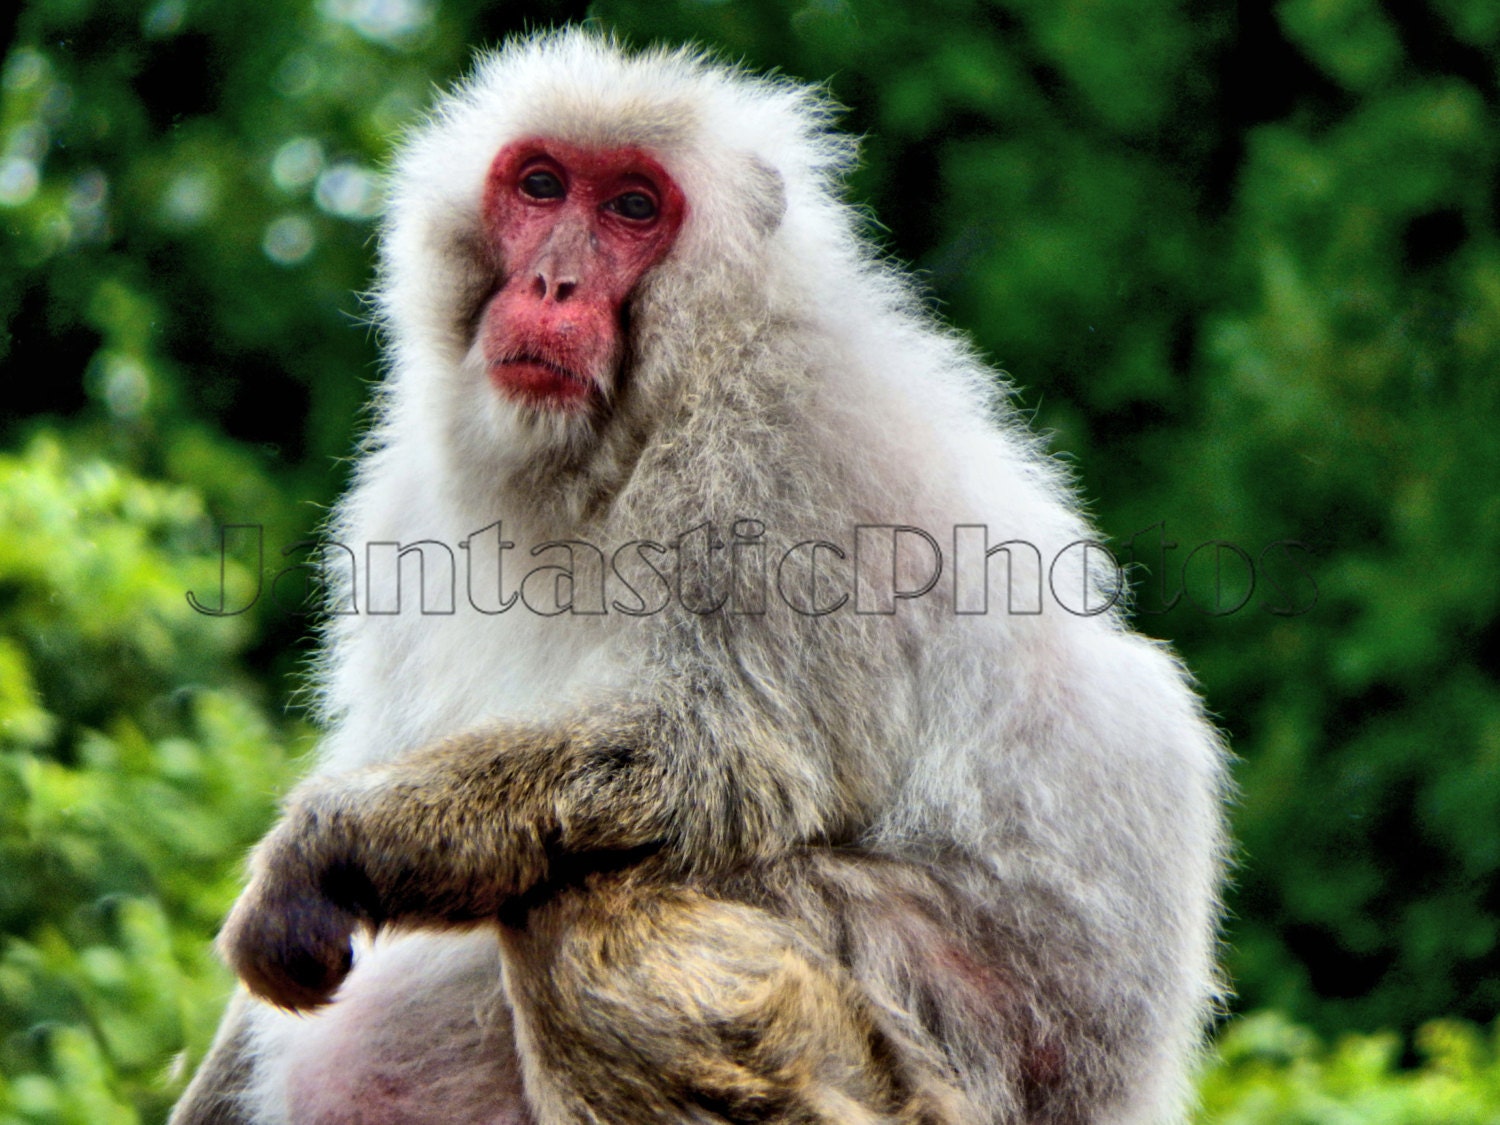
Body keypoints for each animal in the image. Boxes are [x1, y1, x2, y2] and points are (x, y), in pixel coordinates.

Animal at [172, 28, 1230, 1125]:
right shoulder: (403, 501)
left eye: (634, 208)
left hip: (949, 1043)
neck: (617, 439)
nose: (553, 285)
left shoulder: (776, 448)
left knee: (591, 909)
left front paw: (325, 849)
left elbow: (715, 749)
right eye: (541, 186)